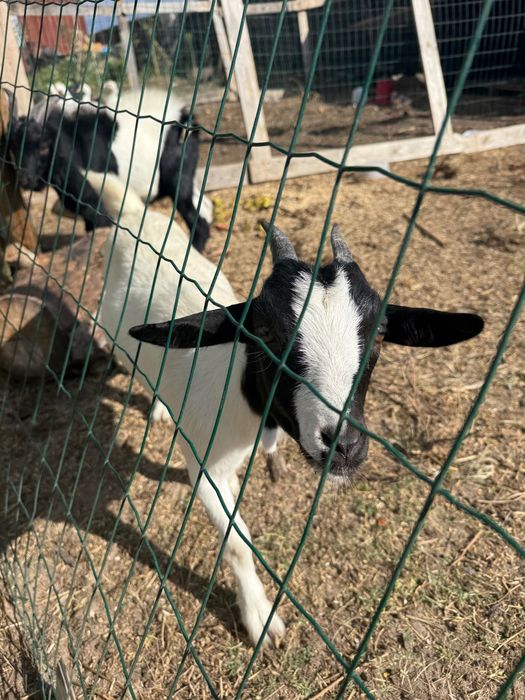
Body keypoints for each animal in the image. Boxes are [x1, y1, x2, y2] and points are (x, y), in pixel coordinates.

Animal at [5, 86, 212, 250]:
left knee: (193, 215)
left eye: (43, 146)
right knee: (204, 207)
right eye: (12, 146)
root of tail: (184, 117)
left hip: (178, 176)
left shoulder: (100, 204)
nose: (25, 179)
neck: (73, 143)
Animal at [125, 209, 484, 646]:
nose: (343, 444)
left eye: (381, 331)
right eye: (263, 332)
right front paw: (260, 618)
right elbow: (237, 543)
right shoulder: (205, 464)